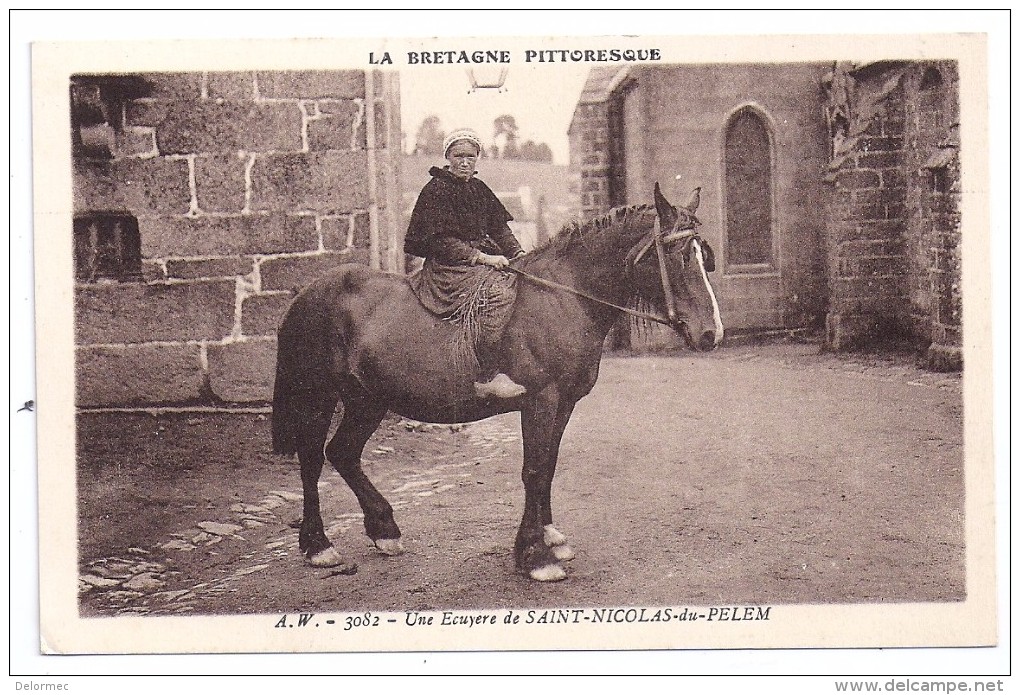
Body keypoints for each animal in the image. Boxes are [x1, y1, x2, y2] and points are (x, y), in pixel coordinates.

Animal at [269, 182, 718, 579]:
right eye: (678, 255)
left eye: (703, 255)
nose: (711, 333)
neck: (563, 297)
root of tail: (306, 294)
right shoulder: (540, 400)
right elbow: (533, 470)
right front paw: (534, 556)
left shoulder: (564, 402)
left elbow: (549, 463)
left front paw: (549, 537)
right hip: (317, 396)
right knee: (312, 459)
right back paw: (319, 546)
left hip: (367, 399)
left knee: (342, 452)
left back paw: (384, 530)